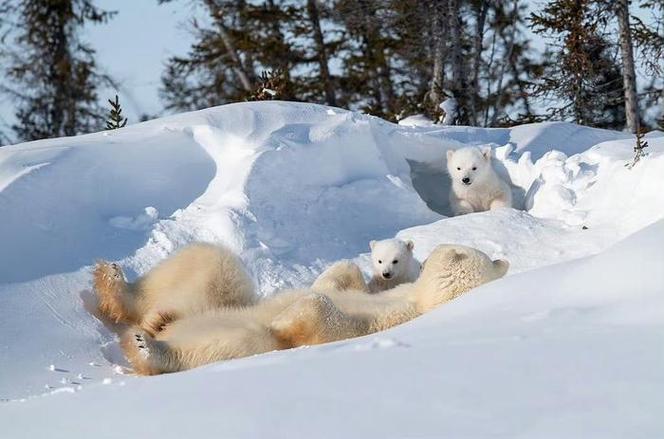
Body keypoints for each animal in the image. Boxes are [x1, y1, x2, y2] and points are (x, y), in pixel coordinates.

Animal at [119, 244, 509, 375]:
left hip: (231, 341)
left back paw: (144, 345)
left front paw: (282, 320)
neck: (419, 300)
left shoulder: (379, 323)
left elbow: (320, 318)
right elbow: (339, 279)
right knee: (208, 262)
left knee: (217, 343)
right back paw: (143, 310)